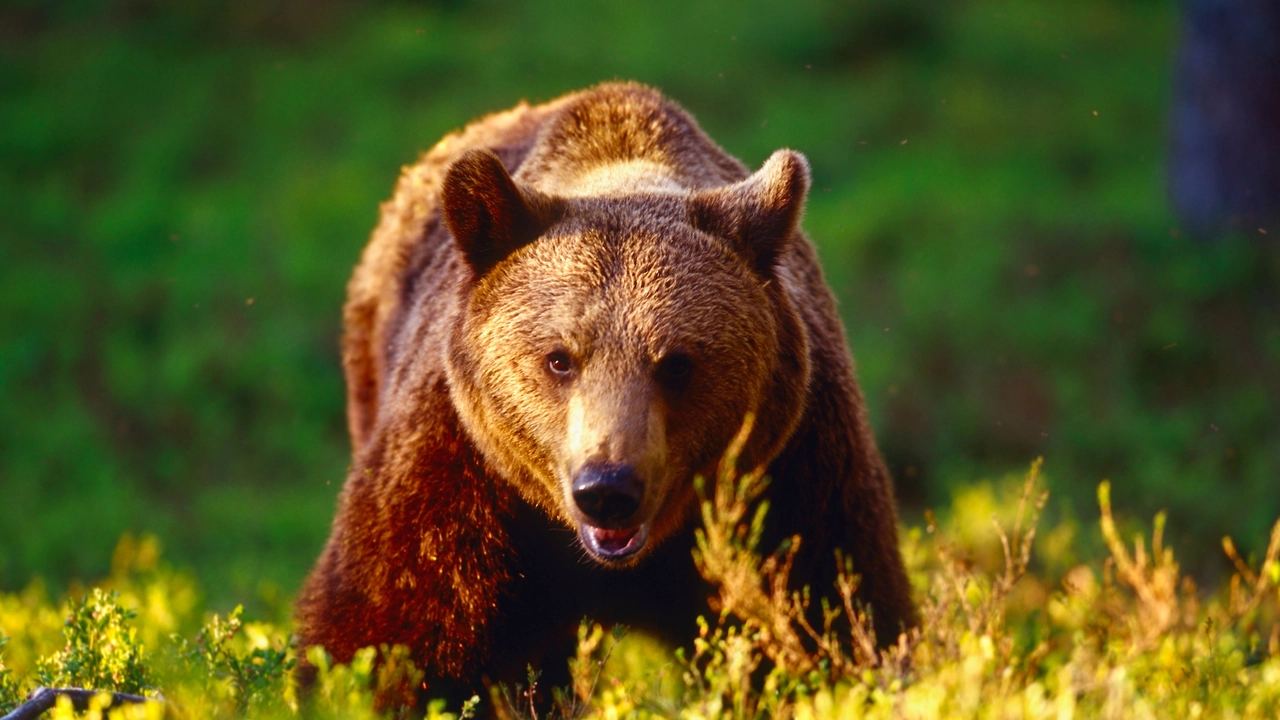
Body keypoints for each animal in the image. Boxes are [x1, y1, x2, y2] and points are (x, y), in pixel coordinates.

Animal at [294, 79, 916, 702]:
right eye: (559, 359)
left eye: (677, 364)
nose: (608, 487)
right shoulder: (458, 478)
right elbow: (388, 631)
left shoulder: (793, 477)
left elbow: (834, 610)